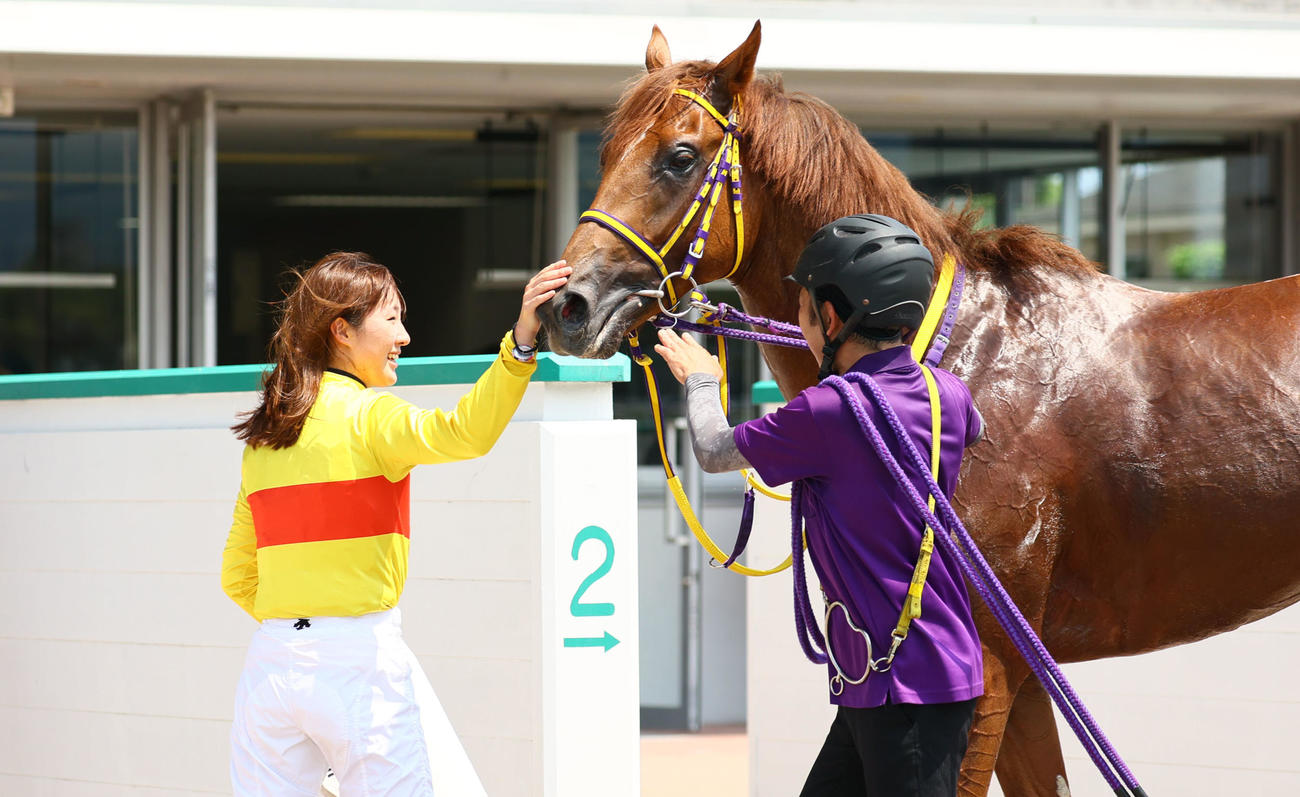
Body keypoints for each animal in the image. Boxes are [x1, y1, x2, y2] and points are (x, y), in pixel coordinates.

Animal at [537, 21, 1300, 796]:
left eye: (680, 157)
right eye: (604, 151)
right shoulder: (1028, 677)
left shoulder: (990, 665)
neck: (956, 354)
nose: (568, 305)